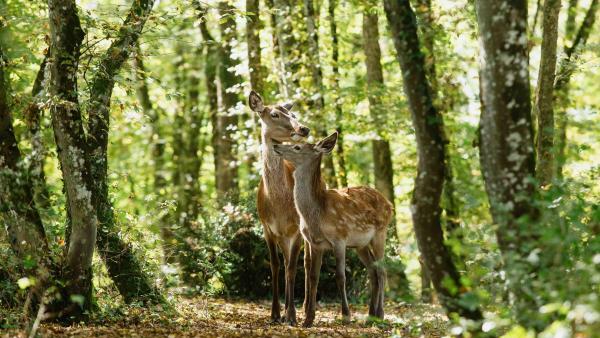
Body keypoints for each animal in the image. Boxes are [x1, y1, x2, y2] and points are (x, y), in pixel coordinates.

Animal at [248, 90, 312, 324]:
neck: (278, 204)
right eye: (274, 114)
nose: (303, 128)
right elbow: (275, 265)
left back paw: (304, 308)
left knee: (306, 263)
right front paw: (275, 313)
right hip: (282, 236)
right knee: (285, 263)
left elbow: (293, 268)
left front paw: (291, 315)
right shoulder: (266, 227)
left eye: (292, 113)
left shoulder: (297, 228)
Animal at [274, 132, 392, 328]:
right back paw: (370, 316)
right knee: (373, 271)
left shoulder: (339, 238)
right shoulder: (315, 243)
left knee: (382, 271)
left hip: (380, 233)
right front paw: (308, 319)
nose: (276, 146)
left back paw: (381, 315)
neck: (318, 214)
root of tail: (390, 204)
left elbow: (340, 276)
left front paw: (346, 315)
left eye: (298, 147)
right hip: (360, 245)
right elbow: (313, 277)